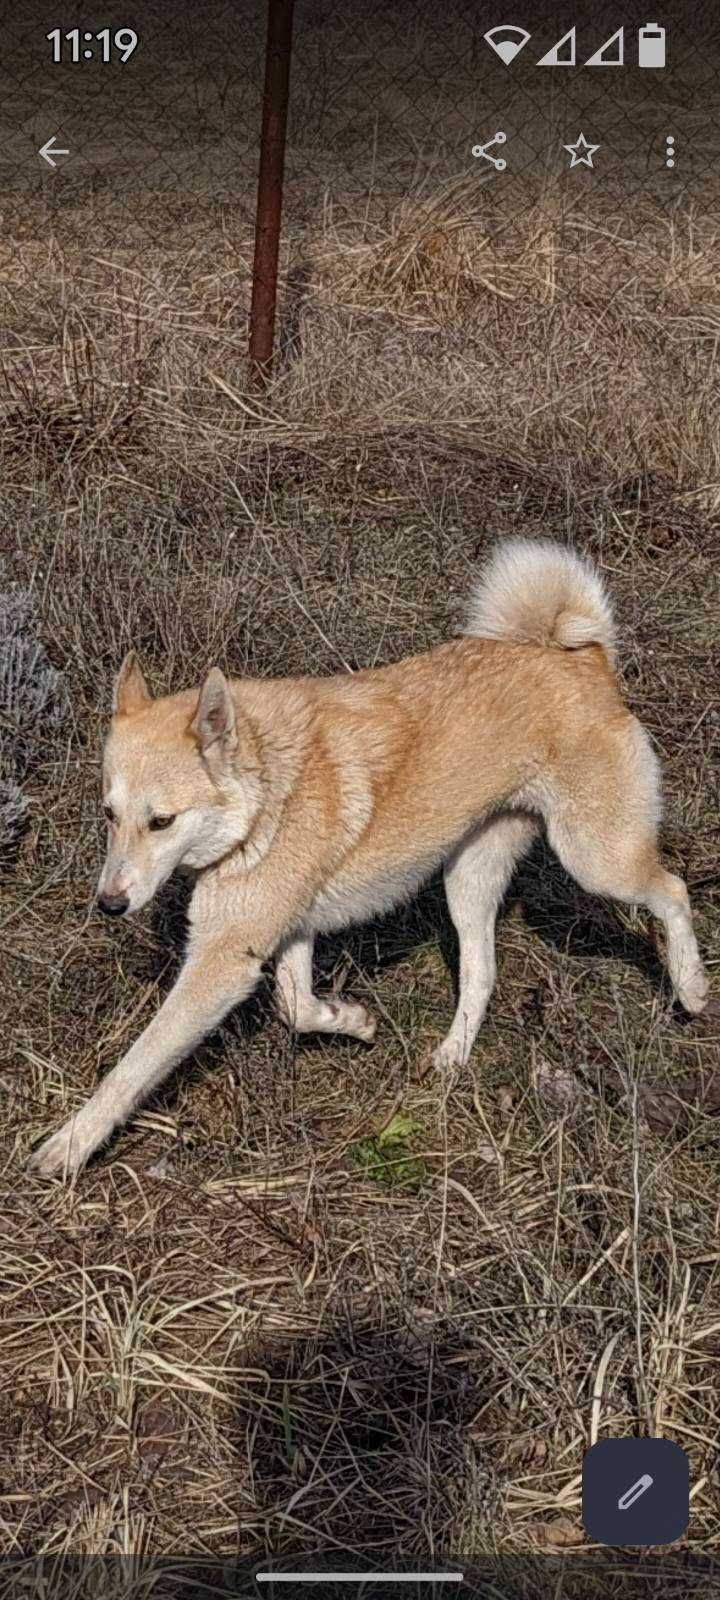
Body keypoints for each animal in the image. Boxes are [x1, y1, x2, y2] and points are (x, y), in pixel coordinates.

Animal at [29, 537, 713, 1177]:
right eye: (109, 815)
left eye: (161, 821)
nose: (109, 904)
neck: (266, 796)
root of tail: (583, 658)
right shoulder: (289, 934)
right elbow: (297, 1008)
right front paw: (350, 1019)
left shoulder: (221, 964)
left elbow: (134, 1066)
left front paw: (70, 1144)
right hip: (467, 883)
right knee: (482, 975)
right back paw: (452, 1056)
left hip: (596, 861)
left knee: (674, 890)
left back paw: (692, 986)